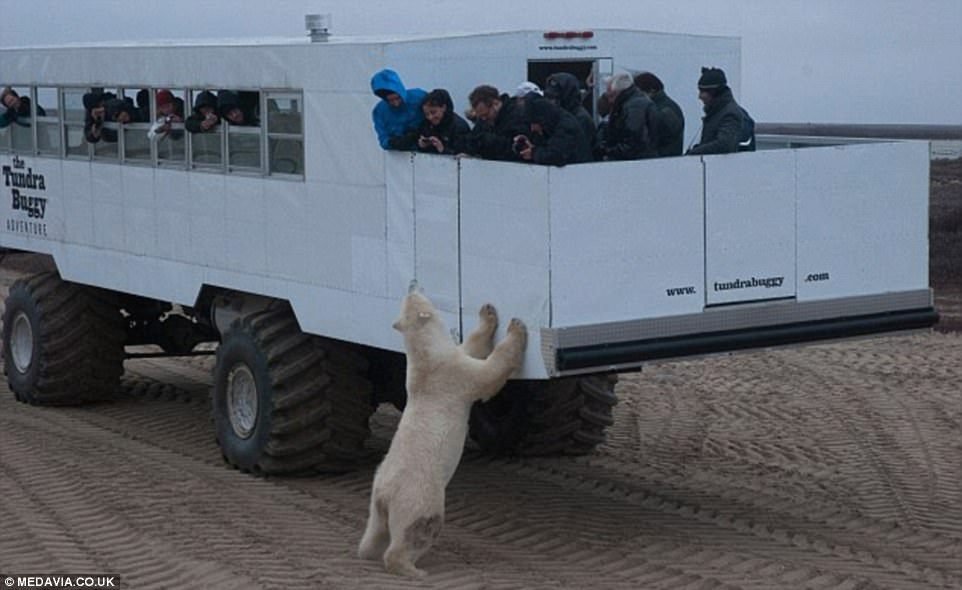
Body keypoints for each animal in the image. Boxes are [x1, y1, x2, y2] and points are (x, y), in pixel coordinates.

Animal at [358, 284, 528, 580]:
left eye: (411, 295)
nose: (412, 285)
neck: (426, 358)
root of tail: (385, 495)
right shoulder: (453, 375)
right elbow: (488, 373)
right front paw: (516, 327)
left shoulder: (450, 359)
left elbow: (471, 346)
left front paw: (488, 313)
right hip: (419, 497)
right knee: (418, 529)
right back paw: (413, 569)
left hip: (375, 499)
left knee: (374, 533)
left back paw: (367, 552)